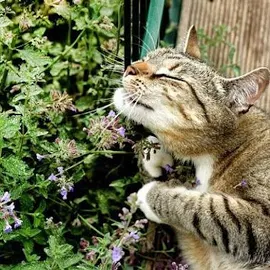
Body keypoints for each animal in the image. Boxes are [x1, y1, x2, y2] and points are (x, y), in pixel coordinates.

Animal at [113, 25, 270, 270]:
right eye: (146, 58)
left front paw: (151, 195)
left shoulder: (259, 222)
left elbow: (205, 210)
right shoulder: (202, 256)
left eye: (169, 76)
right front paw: (156, 154)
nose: (130, 67)